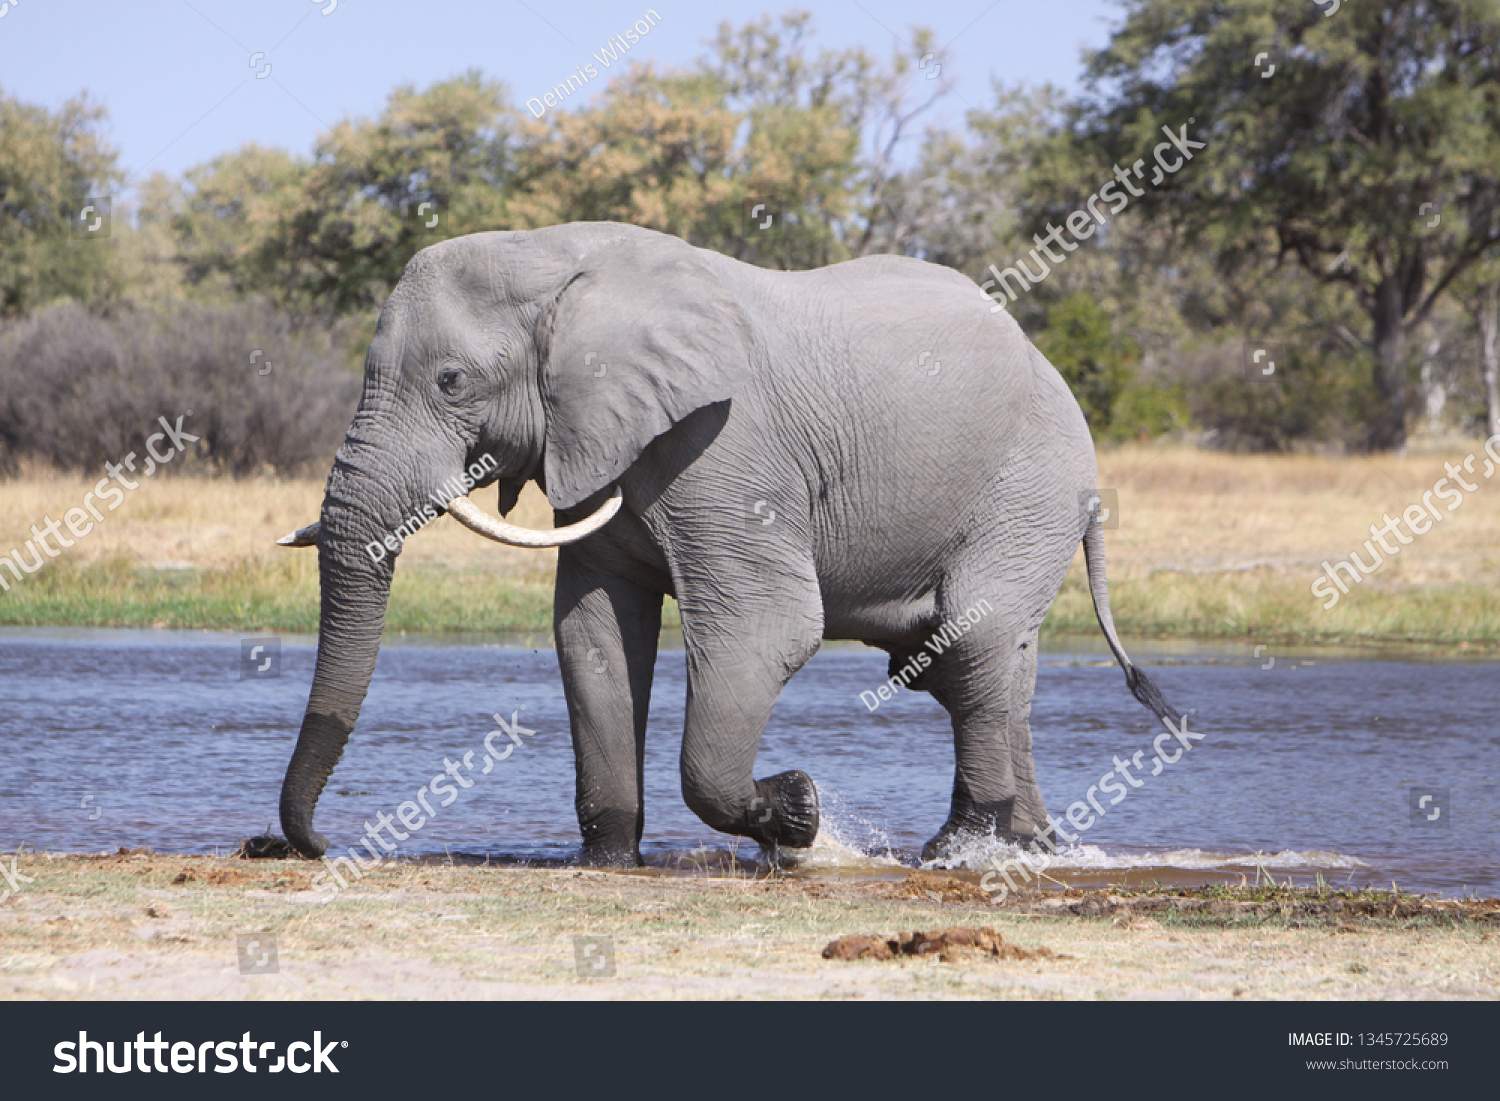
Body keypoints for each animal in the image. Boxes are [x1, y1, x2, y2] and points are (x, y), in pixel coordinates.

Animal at [276, 217, 1176, 870]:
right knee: (979, 666)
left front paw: (799, 813)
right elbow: (593, 636)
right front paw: (609, 859)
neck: (559, 254)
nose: (318, 843)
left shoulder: (726, 450)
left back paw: (958, 851)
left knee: (974, 639)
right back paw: (1033, 845)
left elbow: (767, 627)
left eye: (451, 381)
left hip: (1029, 487)